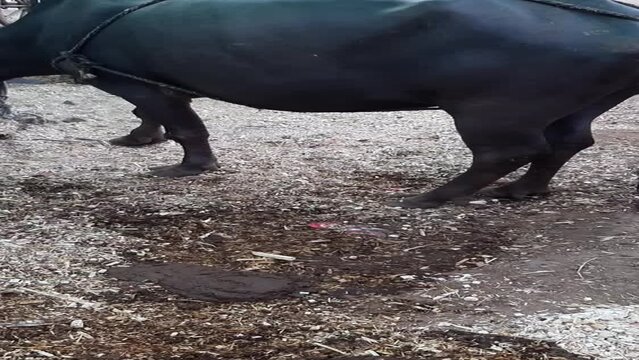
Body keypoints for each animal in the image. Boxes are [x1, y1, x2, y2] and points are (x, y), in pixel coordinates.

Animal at [1, 0, 639, 208]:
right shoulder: (156, 81)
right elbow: (163, 116)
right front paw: (136, 140)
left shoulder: (127, 78)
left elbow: (183, 124)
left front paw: (183, 167)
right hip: (575, 102)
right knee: (565, 143)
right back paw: (522, 193)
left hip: (492, 109)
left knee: (507, 152)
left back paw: (425, 198)